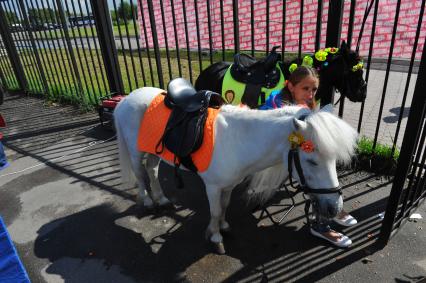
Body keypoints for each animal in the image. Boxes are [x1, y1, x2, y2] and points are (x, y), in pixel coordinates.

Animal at [114, 87, 360, 255]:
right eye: (311, 161)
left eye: (333, 160)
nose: (334, 208)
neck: (239, 139)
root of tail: (126, 99)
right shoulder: (213, 187)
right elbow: (214, 211)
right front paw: (215, 237)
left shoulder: (229, 185)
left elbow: (224, 207)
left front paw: (223, 227)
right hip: (135, 151)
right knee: (140, 174)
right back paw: (148, 201)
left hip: (153, 151)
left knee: (152, 170)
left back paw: (162, 199)